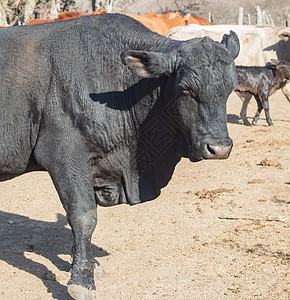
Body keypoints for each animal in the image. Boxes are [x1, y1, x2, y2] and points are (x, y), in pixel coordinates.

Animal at [0, 13, 240, 300]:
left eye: (231, 87)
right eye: (186, 88)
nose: (220, 148)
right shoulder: (63, 156)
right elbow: (83, 217)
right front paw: (82, 280)